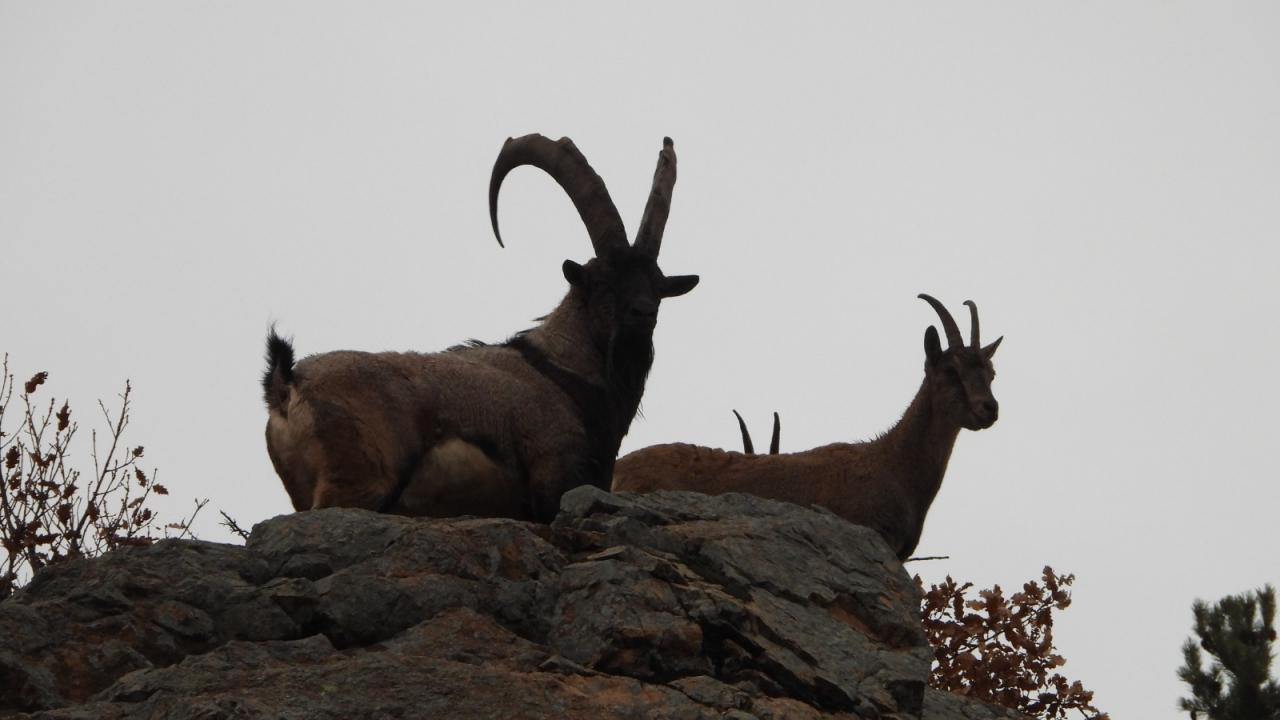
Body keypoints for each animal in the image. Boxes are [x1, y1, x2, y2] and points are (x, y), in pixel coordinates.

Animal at [263, 135, 699, 522]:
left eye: (657, 285)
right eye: (605, 282)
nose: (642, 313)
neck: (564, 372)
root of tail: (287, 385)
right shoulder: (553, 477)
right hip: (357, 483)